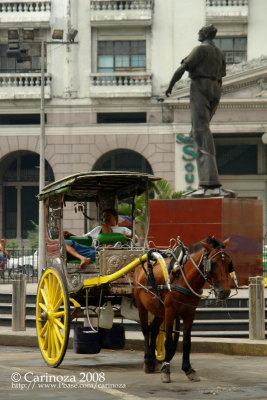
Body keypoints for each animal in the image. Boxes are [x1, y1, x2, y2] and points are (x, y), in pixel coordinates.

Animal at [133, 236, 234, 382]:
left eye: (228, 263)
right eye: (213, 264)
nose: (224, 292)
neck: (184, 278)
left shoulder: (190, 313)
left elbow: (187, 342)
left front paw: (188, 369)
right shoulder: (170, 311)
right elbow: (168, 342)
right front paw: (166, 369)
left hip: (159, 310)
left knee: (154, 329)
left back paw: (153, 361)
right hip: (142, 306)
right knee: (146, 330)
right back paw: (147, 361)